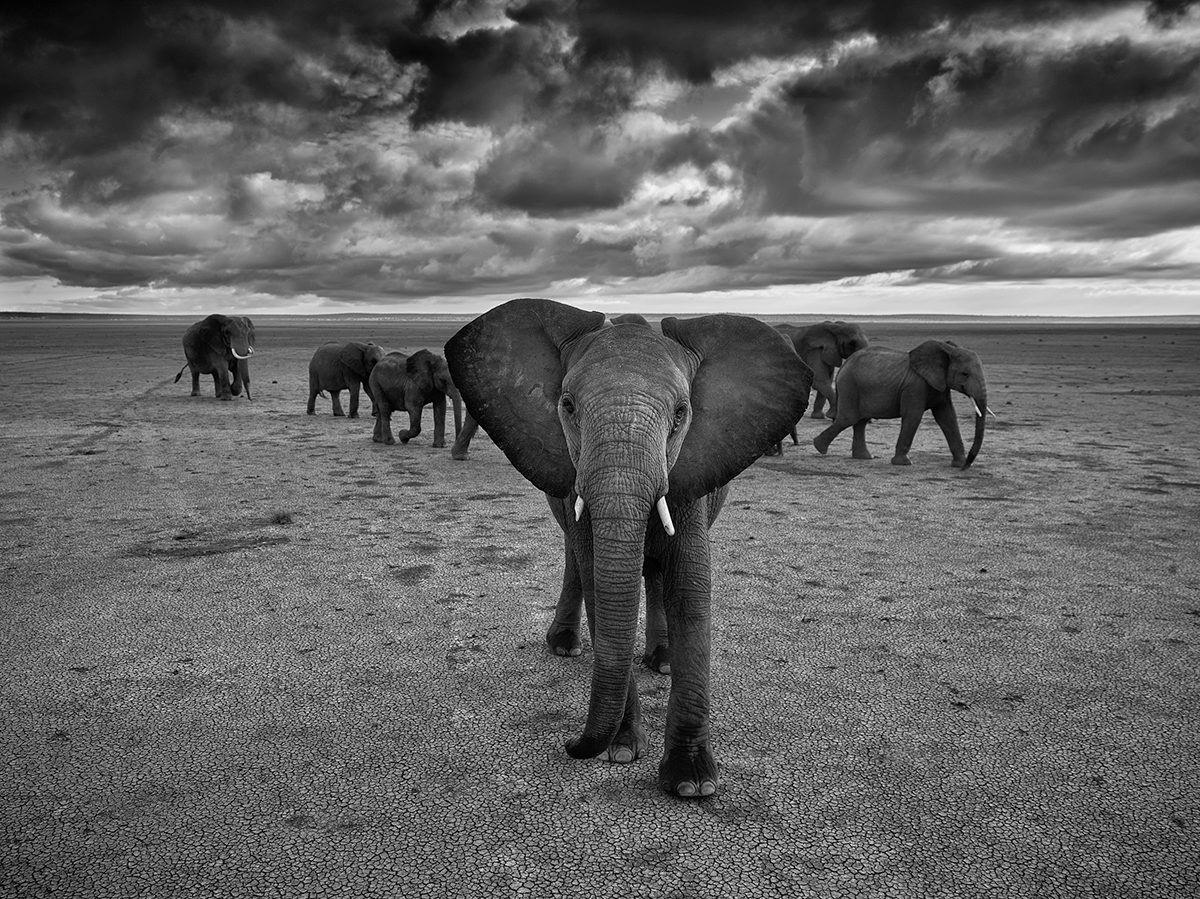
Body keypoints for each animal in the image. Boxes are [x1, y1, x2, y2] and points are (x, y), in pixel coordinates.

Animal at [446, 297, 811, 796]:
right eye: (568, 406)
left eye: (680, 414)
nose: (569, 744)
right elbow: (599, 582)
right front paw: (620, 750)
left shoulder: (690, 474)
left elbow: (690, 588)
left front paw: (692, 783)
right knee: (577, 561)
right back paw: (566, 647)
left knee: (655, 575)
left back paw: (661, 661)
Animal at [811, 336, 988, 463]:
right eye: (965, 374)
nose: (967, 465)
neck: (949, 349)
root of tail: (844, 366)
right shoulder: (915, 387)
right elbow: (913, 416)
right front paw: (903, 463)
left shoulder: (940, 386)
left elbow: (948, 417)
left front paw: (960, 463)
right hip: (850, 385)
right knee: (848, 418)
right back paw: (819, 447)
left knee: (860, 421)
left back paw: (864, 457)